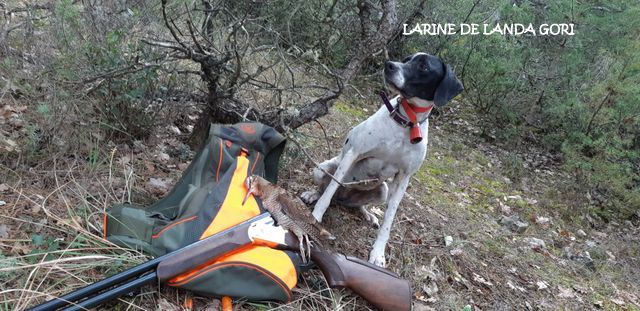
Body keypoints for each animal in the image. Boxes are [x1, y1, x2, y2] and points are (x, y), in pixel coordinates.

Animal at [302, 52, 462, 266]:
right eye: (406, 59)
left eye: (423, 66)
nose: (389, 65)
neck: (405, 123)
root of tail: (342, 197)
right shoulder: (353, 154)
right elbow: (327, 194)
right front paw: (315, 218)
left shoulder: (403, 179)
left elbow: (389, 220)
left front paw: (378, 253)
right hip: (322, 168)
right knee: (325, 190)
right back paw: (312, 194)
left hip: (382, 190)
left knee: (358, 204)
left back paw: (369, 215)